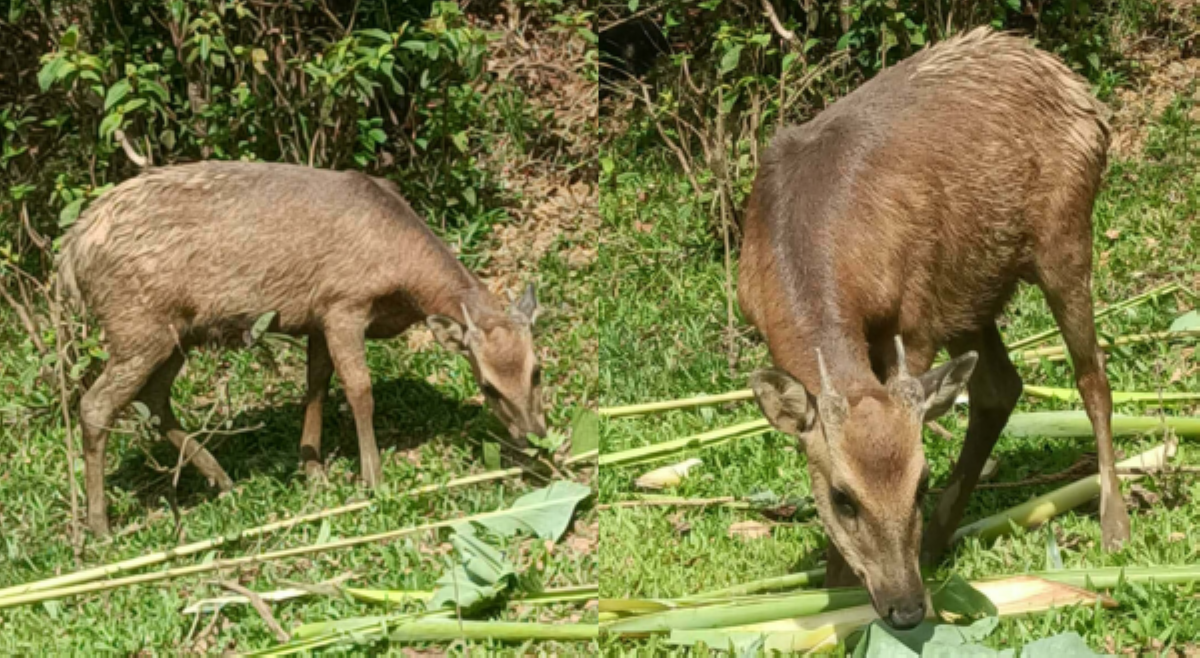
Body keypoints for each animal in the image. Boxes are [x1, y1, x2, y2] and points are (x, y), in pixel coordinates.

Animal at [58, 160, 547, 536]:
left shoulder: (317, 316)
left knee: (154, 400)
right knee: (97, 404)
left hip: (175, 333)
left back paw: (224, 480)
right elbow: (359, 390)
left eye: (537, 370)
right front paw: (372, 480)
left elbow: (316, 385)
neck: (402, 280)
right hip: (137, 324)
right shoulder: (344, 303)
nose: (536, 436)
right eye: (487, 387)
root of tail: (70, 256)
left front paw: (312, 469)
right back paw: (101, 527)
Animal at [737, 27, 1128, 630]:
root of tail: (1080, 90)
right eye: (842, 498)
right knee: (999, 387)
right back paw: (940, 540)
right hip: (972, 289)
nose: (905, 607)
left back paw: (1114, 525)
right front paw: (835, 587)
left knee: (1092, 376)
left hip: (1064, 233)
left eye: (921, 482)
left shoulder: (915, 316)